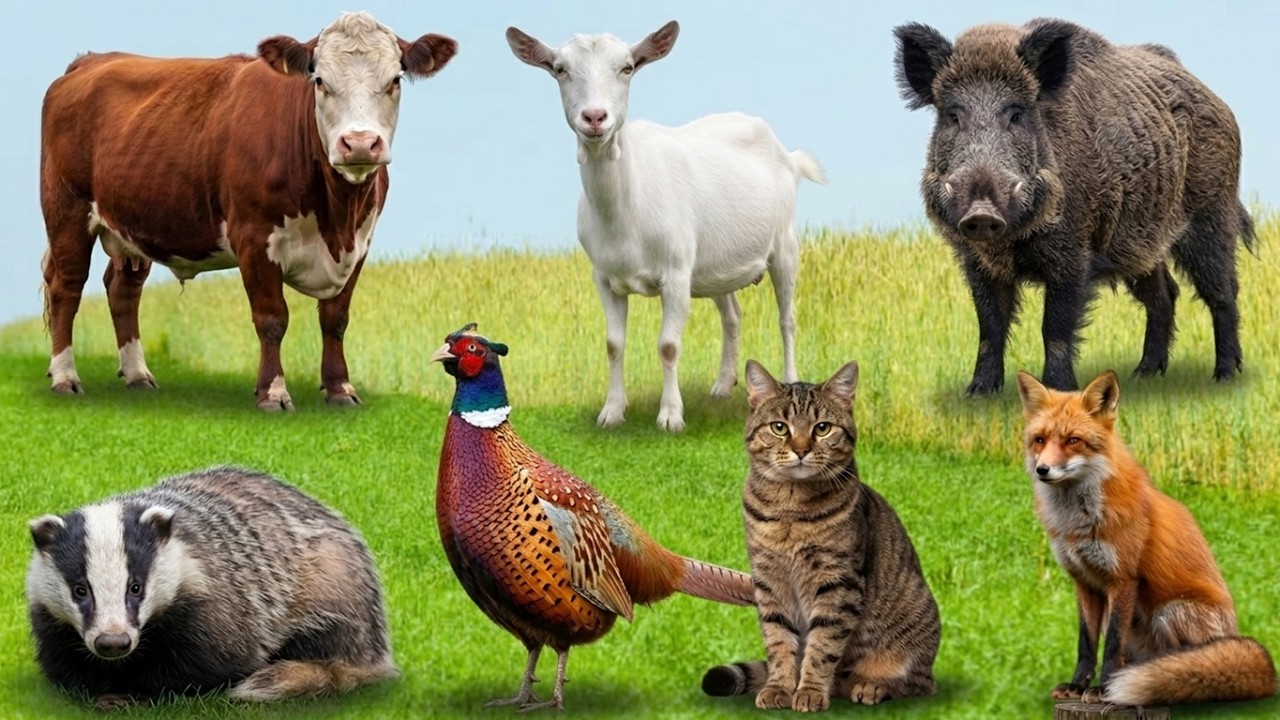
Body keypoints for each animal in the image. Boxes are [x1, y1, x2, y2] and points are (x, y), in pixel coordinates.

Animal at [1015, 369, 1277, 707]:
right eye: (1039, 440)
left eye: (1073, 440)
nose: (1042, 469)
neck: (1079, 522)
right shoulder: (1084, 583)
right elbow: (1086, 643)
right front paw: (1077, 685)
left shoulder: (1123, 578)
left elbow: (1112, 643)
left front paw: (1103, 690)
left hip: (1170, 612)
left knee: (1182, 660)